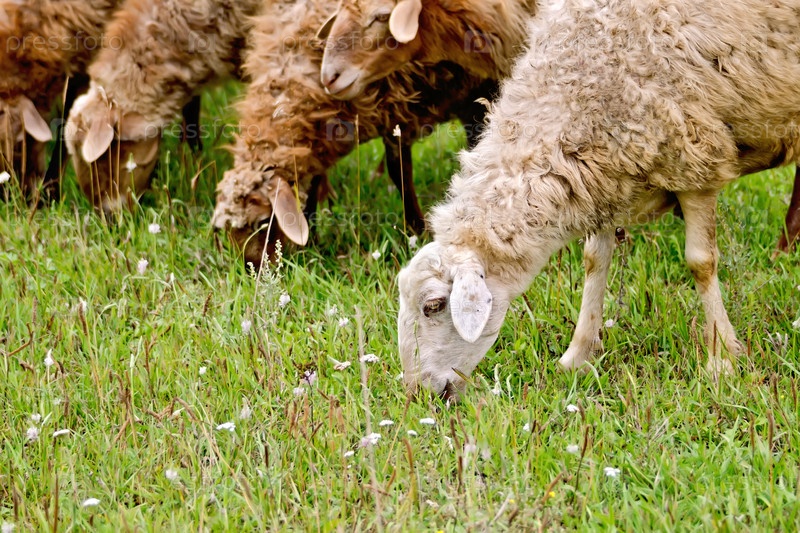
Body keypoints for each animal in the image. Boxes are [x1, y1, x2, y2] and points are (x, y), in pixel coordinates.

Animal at [210, 0, 497, 269]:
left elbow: (400, 172)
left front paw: (417, 230)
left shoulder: (403, 108)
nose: (253, 268)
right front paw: (313, 236)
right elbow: (317, 181)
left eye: (262, 222)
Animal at [397, 0, 800, 399]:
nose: (419, 394)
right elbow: (594, 261)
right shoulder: (602, 174)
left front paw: (722, 361)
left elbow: (700, 263)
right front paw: (577, 354)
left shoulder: (696, 160)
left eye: (433, 306)